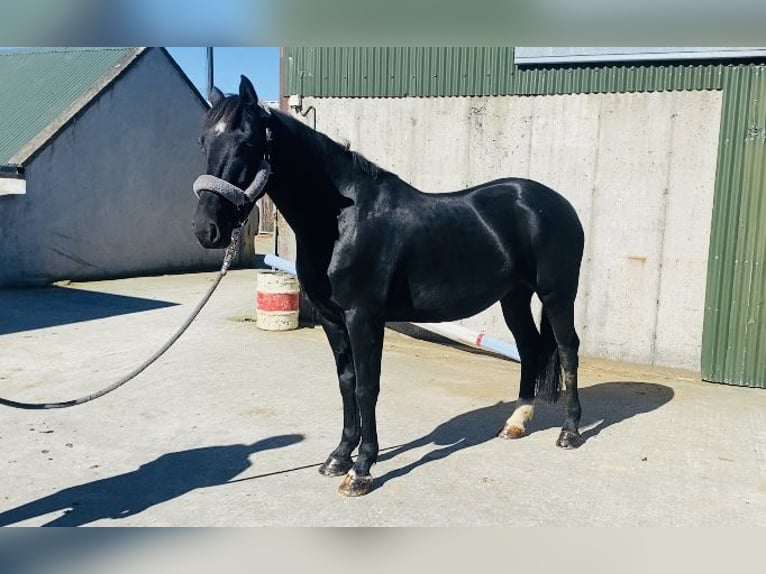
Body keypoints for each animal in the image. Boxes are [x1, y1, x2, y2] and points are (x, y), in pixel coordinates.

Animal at [194, 75, 588, 500]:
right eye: (203, 140)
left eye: (246, 143)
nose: (206, 230)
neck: (343, 220)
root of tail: (555, 203)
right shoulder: (333, 319)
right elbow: (346, 383)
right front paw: (339, 457)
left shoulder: (363, 317)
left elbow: (367, 387)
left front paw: (362, 470)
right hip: (513, 297)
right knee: (530, 347)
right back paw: (516, 422)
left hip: (557, 294)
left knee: (568, 349)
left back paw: (570, 432)